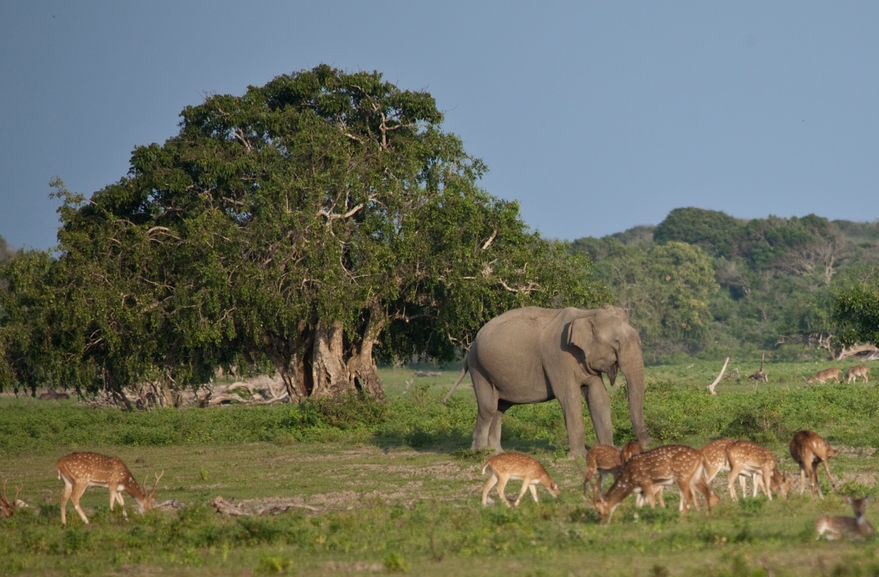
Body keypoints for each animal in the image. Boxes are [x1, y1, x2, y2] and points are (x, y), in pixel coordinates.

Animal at [450, 304, 648, 456]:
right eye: (617, 343)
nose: (644, 446)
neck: (586, 313)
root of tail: (470, 348)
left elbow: (598, 397)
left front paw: (607, 450)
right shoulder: (558, 356)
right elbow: (570, 398)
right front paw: (579, 455)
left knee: (500, 407)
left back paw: (497, 452)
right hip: (479, 369)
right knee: (489, 407)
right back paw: (480, 453)